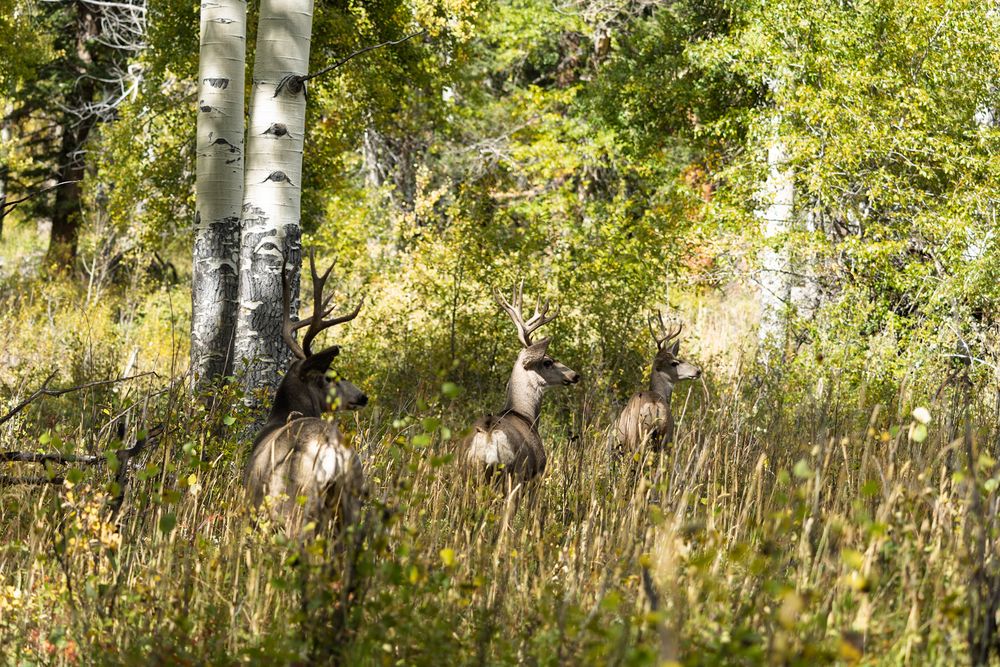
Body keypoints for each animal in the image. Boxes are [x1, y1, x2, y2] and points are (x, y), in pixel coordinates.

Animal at [243, 250, 367, 534]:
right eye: (332, 377)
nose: (362, 396)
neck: (282, 415)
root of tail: (333, 457)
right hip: (352, 502)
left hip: (294, 505)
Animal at [463, 283, 581, 485]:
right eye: (547, 361)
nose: (575, 375)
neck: (525, 415)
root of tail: (488, 435)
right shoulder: (536, 473)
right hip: (514, 473)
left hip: (467, 474)